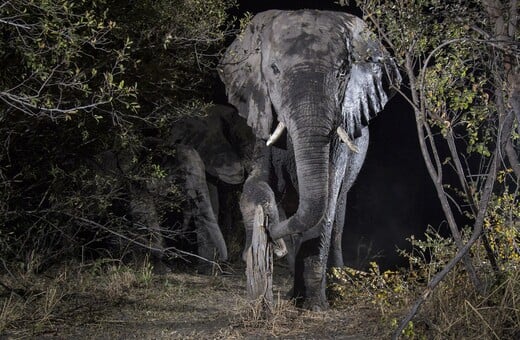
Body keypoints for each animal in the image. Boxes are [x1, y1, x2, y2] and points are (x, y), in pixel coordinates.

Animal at [217, 9, 400, 310]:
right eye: (274, 70)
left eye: (342, 73)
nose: (272, 239)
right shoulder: (261, 116)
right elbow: (256, 183)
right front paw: (269, 227)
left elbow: (325, 204)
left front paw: (313, 306)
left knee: (338, 213)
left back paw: (334, 285)